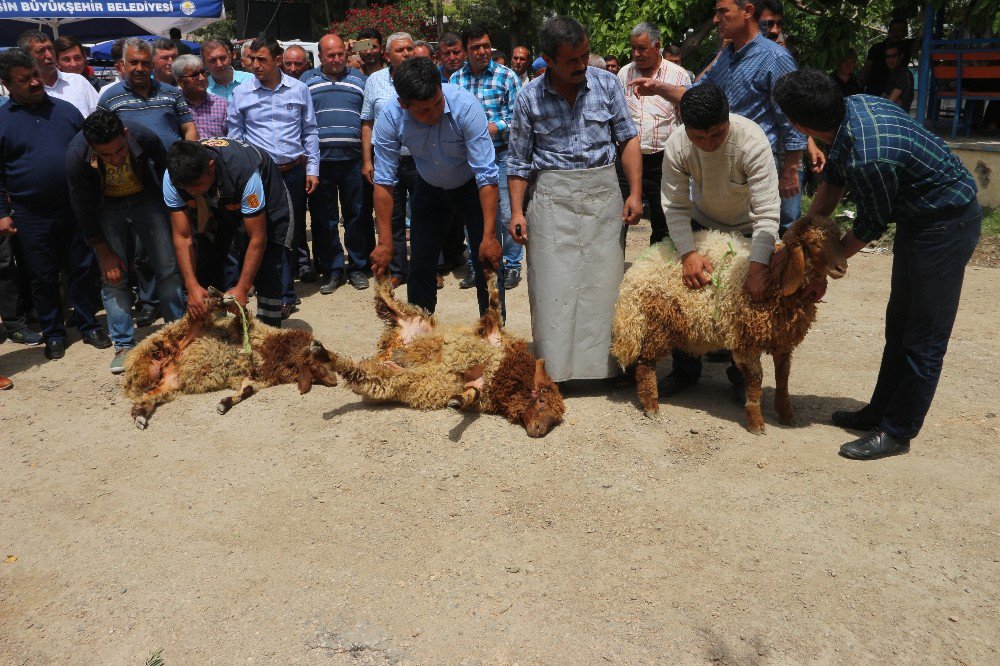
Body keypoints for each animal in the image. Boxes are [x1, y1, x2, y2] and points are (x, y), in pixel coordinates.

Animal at [308, 270, 568, 436]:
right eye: (542, 401)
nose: (539, 431)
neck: (506, 374)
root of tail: (387, 347)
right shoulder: (488, 337)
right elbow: (494, 303)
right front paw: (491, 273)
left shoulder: (480, 387)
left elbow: (468, 394)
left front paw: (455, 400)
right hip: (407, 315)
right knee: (384, 294)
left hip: (387, 379)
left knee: (360, 370)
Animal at [612, 215, 848, 434]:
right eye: (814, 243)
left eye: (838, 239)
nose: (842, 267)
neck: (776, 280)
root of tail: (637, 270)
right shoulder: (747, 341)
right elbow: (755, 379)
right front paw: (756, 421)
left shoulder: (783, 341)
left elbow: (783, 377)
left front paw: (786, 414)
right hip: (661, 323)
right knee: (645, 362)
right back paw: (651, 405)